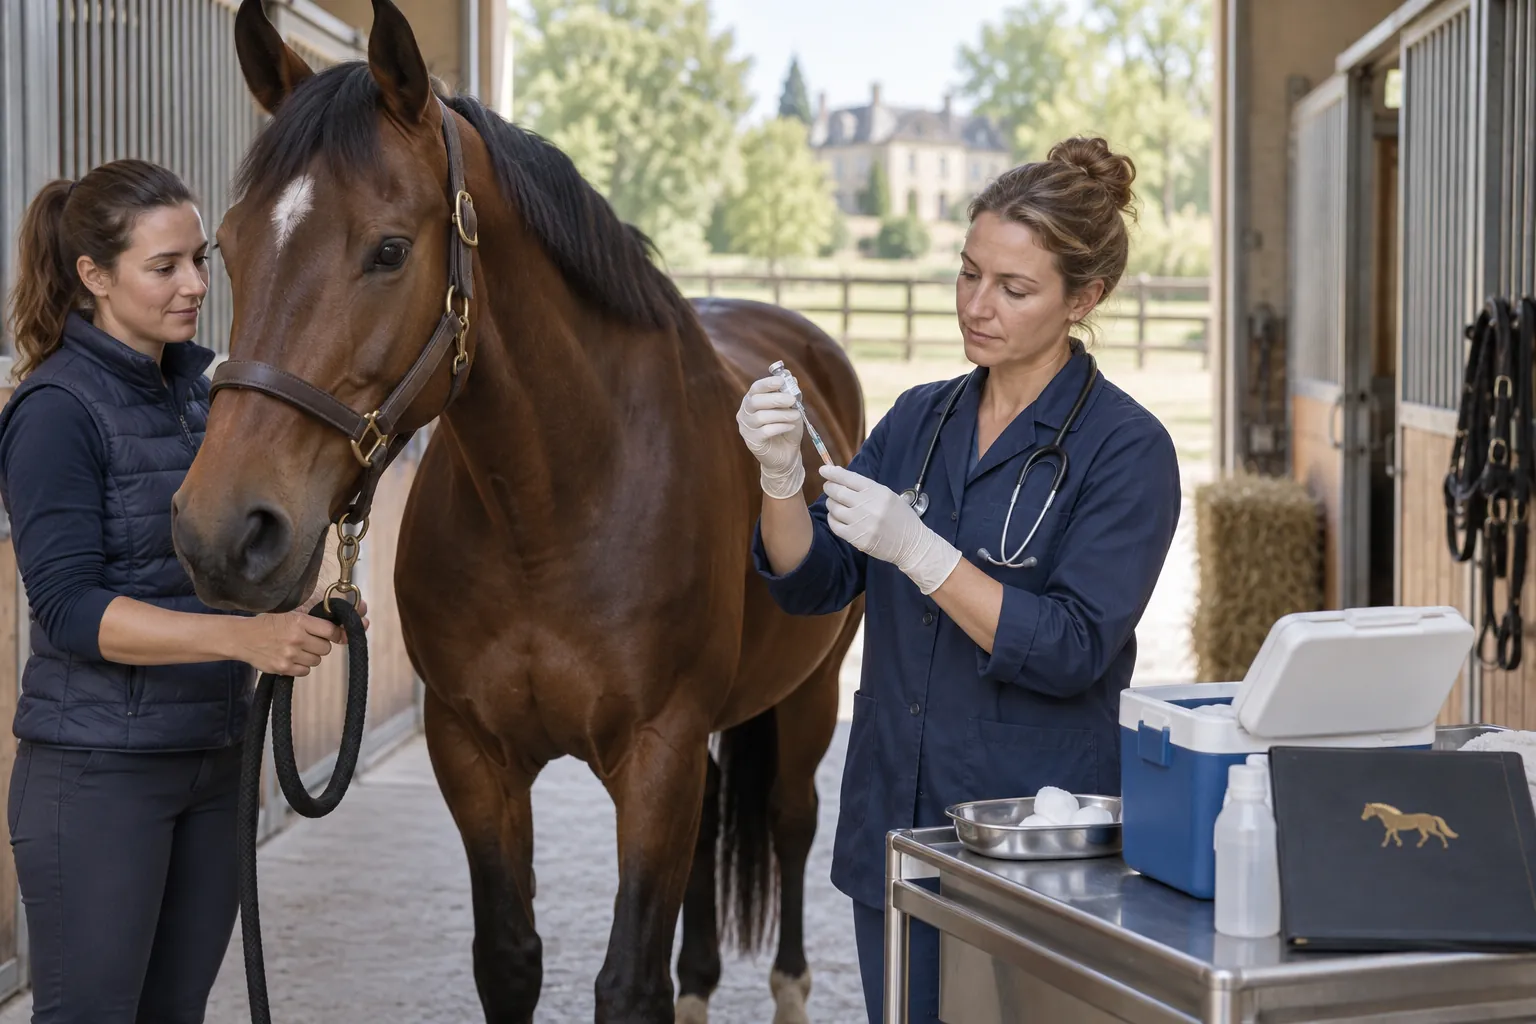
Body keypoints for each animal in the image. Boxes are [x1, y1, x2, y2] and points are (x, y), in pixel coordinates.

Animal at [169, 2, 865, 1021]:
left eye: (389, 249)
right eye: (229, 244)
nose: (223, 532)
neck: (557, 507)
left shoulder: (655, 756)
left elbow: (628, 980)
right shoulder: (474, 754)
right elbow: (509, 957)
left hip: (809, 694)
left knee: (790, 821)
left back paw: (787, 984)